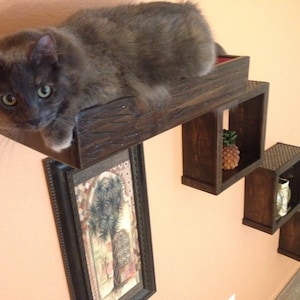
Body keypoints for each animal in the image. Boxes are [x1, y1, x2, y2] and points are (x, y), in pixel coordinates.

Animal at [0, 1, 217, 152]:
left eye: (44, 91)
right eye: (9, 99)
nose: (33, 119)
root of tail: (190, 7)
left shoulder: (106, 84)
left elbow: (71, 102)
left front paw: (56, 137)